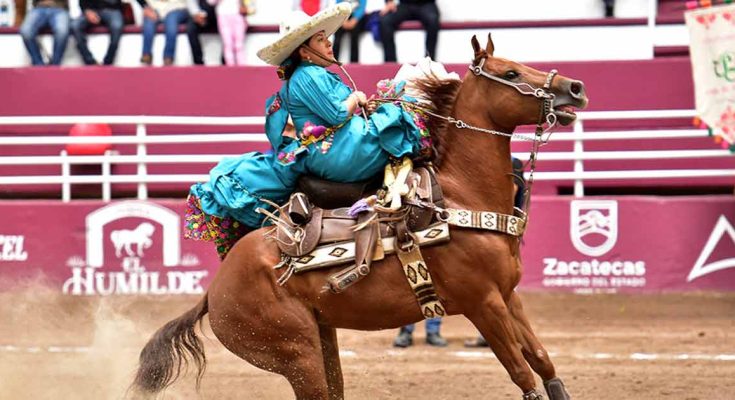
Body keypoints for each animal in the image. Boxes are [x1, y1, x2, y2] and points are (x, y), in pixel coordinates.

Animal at [132, 35, 588, 400]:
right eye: (510, 72)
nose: (575, 88)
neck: (460, 196)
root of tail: (214, 291)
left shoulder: (508, 297)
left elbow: (543, 363)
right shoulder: (483, 304)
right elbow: (523, 375)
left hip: (322, 338)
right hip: (296, 353)